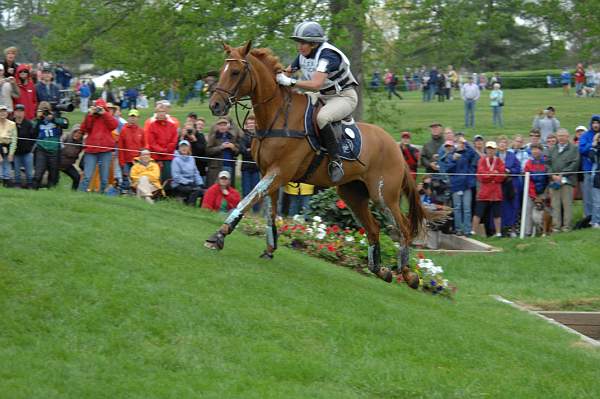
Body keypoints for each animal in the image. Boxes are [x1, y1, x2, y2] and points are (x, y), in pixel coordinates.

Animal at [206, 41, 446, 288]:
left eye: (235, 72)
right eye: (222, 70)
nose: (215, 105)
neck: (278, 115)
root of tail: (397, 148)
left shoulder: (278, 173)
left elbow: (246, 200)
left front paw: (219, 235)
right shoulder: (269, 175)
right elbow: (268, 213)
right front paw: (269, 249)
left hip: (383, 196)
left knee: (403, 228)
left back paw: (408, 274)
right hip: (352, 194)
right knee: (374, 229)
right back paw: (380, 269)